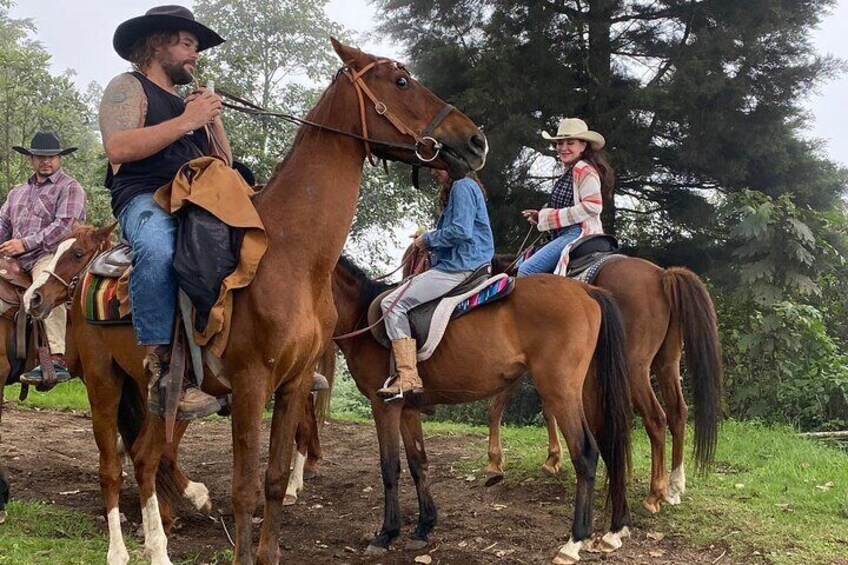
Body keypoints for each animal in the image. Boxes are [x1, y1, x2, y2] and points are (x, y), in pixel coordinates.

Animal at [26, 40, 486, 564]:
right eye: (402, 81)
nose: (475, 141)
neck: (291, 255)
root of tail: (88, 280)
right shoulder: (249, 384)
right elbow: (244, 487)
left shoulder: (294, 383)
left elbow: (274, 479)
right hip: (103, 382)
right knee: (111, 465)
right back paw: (120, 552)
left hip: (157, 396)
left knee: (144, 458)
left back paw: (160, 549)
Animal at [328, 256, 632, 564]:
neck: (362, 319)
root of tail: (586, 291)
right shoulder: (408, 409)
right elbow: (418, 464)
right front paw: (423, 526)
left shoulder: (385, 405)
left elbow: (390, 467)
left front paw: (387, 533)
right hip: (589, 390)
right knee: (610, 446)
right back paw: (615, 530)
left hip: (560, 392)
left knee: (586, 453)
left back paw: (575, 541)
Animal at [486, 254, 724, 512]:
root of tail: (662, 276)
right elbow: (550, 412)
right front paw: (553, 458)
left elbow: (498, 406)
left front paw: (495, 462)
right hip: (666, 362)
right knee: (678, 412)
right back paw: (674, 487)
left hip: (634, 368)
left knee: (656, 418)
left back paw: (654, 494)